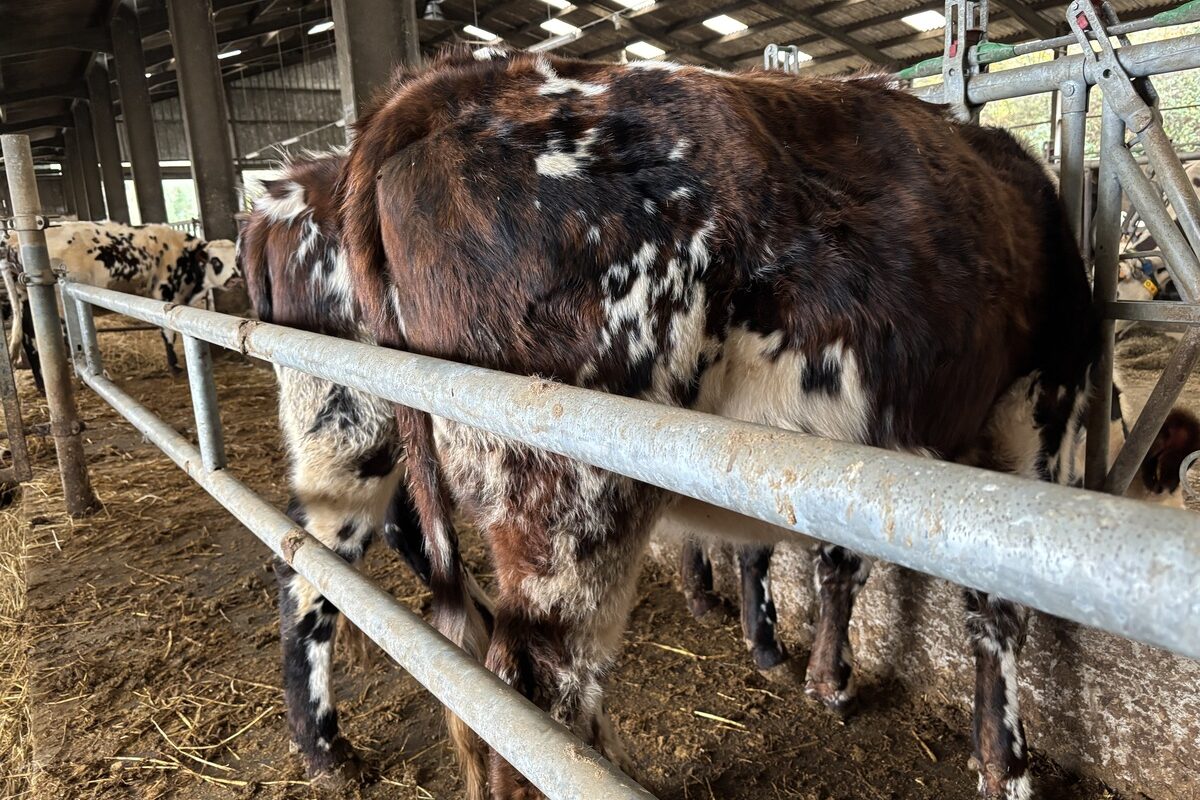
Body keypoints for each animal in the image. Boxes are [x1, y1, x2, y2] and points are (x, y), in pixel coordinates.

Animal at [0, 221, 239, 383]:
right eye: (215, 261)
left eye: (235, 260)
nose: (234, 278)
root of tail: (12, 240)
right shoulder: (165, 293)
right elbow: (168, 332)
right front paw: (175, 366)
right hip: (60, 303)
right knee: (64, 335)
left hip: (25, 300)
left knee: (30, 340)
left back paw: (42, 384)